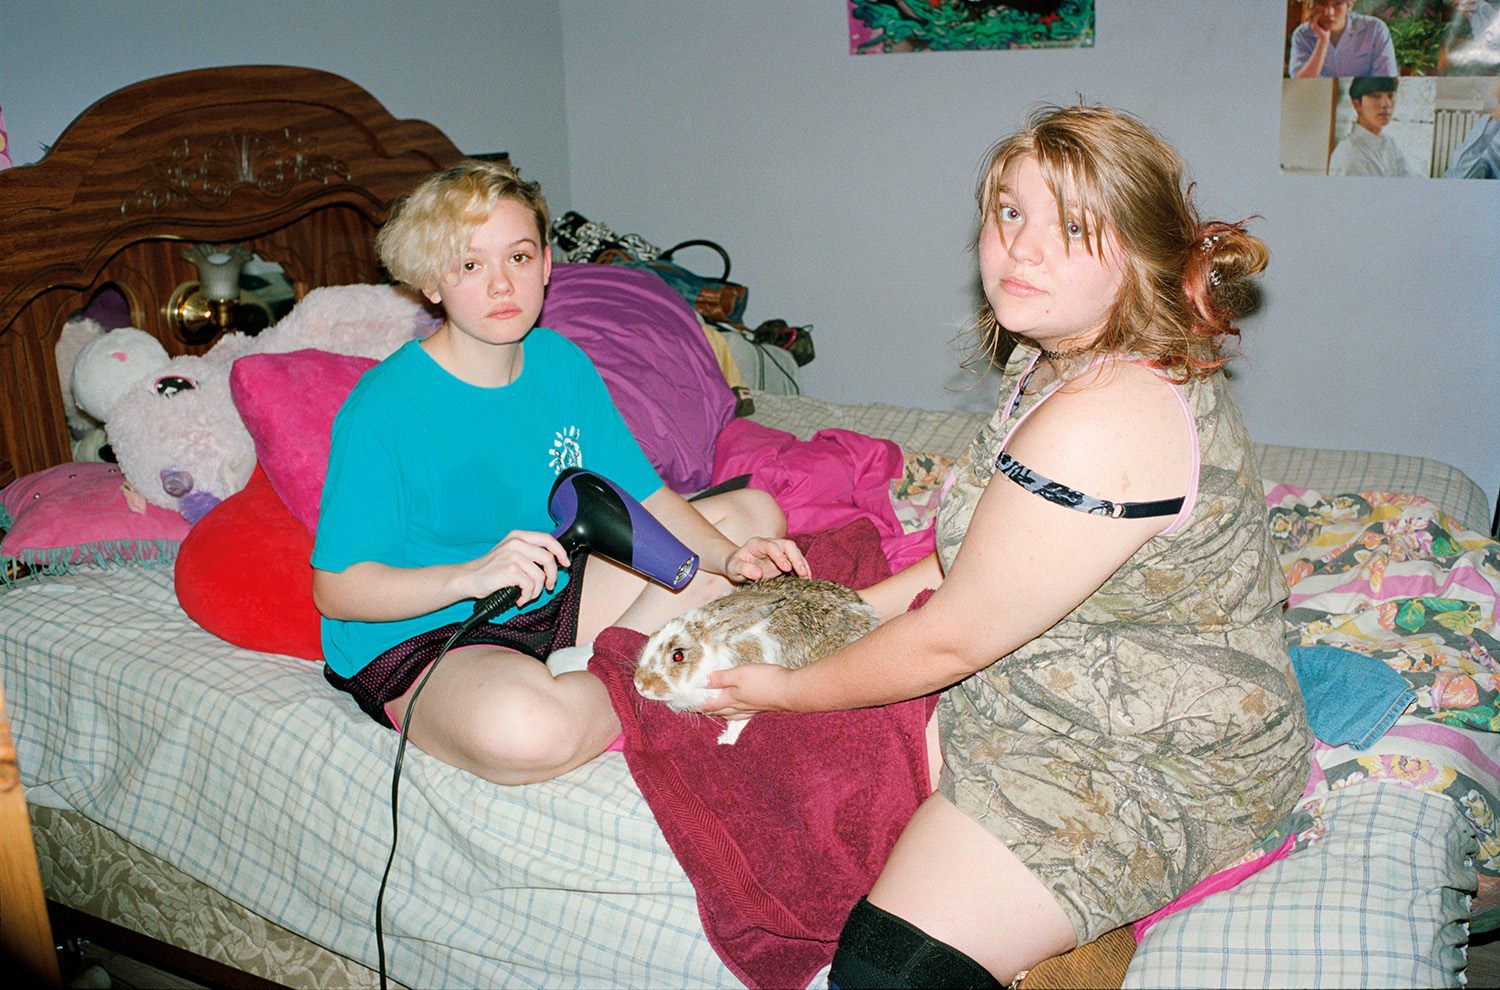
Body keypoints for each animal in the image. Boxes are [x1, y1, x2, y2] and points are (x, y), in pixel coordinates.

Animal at [633, 573, 876, 744]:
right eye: (652, 638)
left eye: (678, 655)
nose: (639, 685)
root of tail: (870, 618)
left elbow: (737, 723)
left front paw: (725, 741)